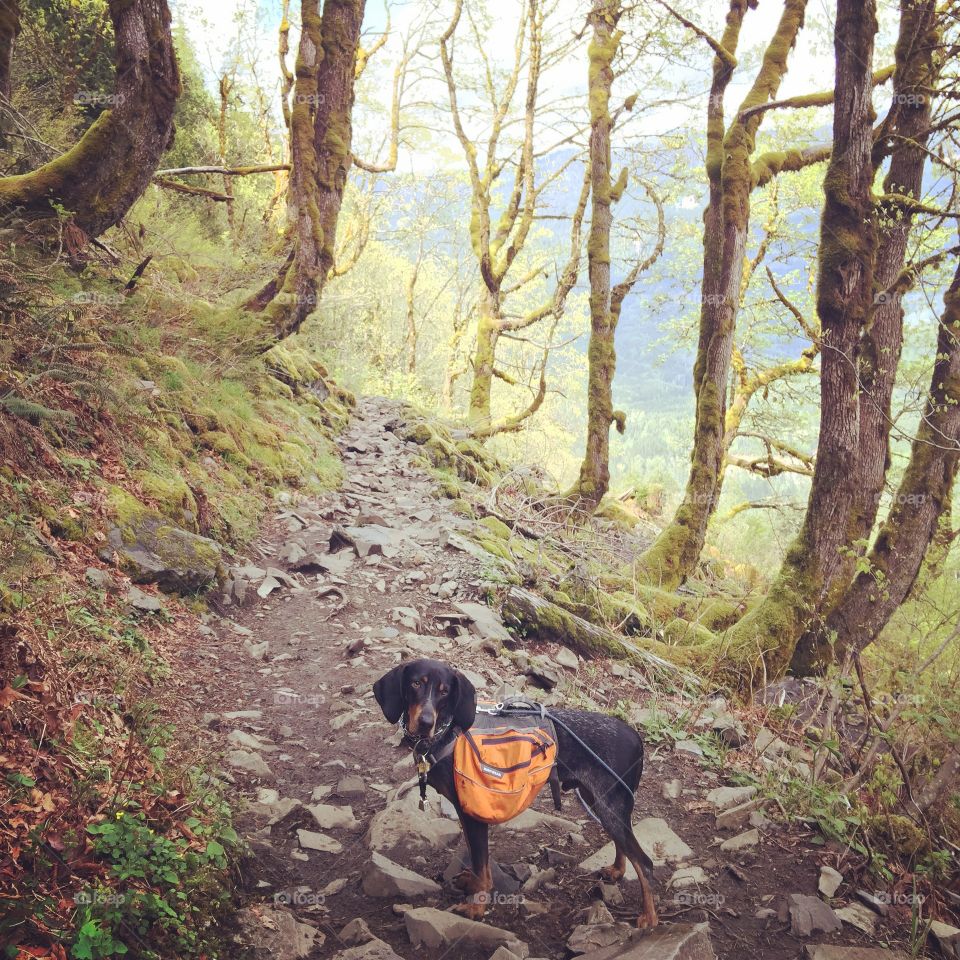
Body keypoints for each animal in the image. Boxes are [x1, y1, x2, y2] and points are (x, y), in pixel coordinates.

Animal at [372, 656, 656, 928]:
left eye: (444, 692)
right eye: (415, 684)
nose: (425, 722)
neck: (449, 733)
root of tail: (636, 738)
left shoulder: (475, 815)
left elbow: (482, 867)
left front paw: (477, 908)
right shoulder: (465, 812)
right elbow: (478, 863)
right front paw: (473, 885)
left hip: (610, 806)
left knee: (645, 864)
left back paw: (649, 917)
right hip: (599, 802)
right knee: (623, 845)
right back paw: (617, 871)